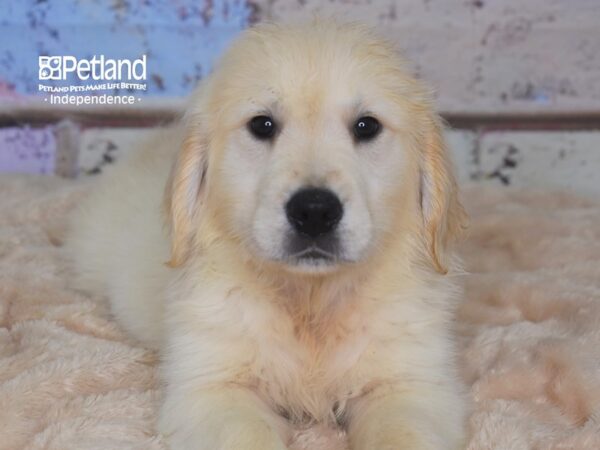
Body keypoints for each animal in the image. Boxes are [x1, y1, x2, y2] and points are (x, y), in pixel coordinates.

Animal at [69, 19, 468, 448]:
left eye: (367, 126)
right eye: (262, 125)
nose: (314, 211)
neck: (310, 302)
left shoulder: (411, 383)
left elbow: (403, 432)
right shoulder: (212, 386)